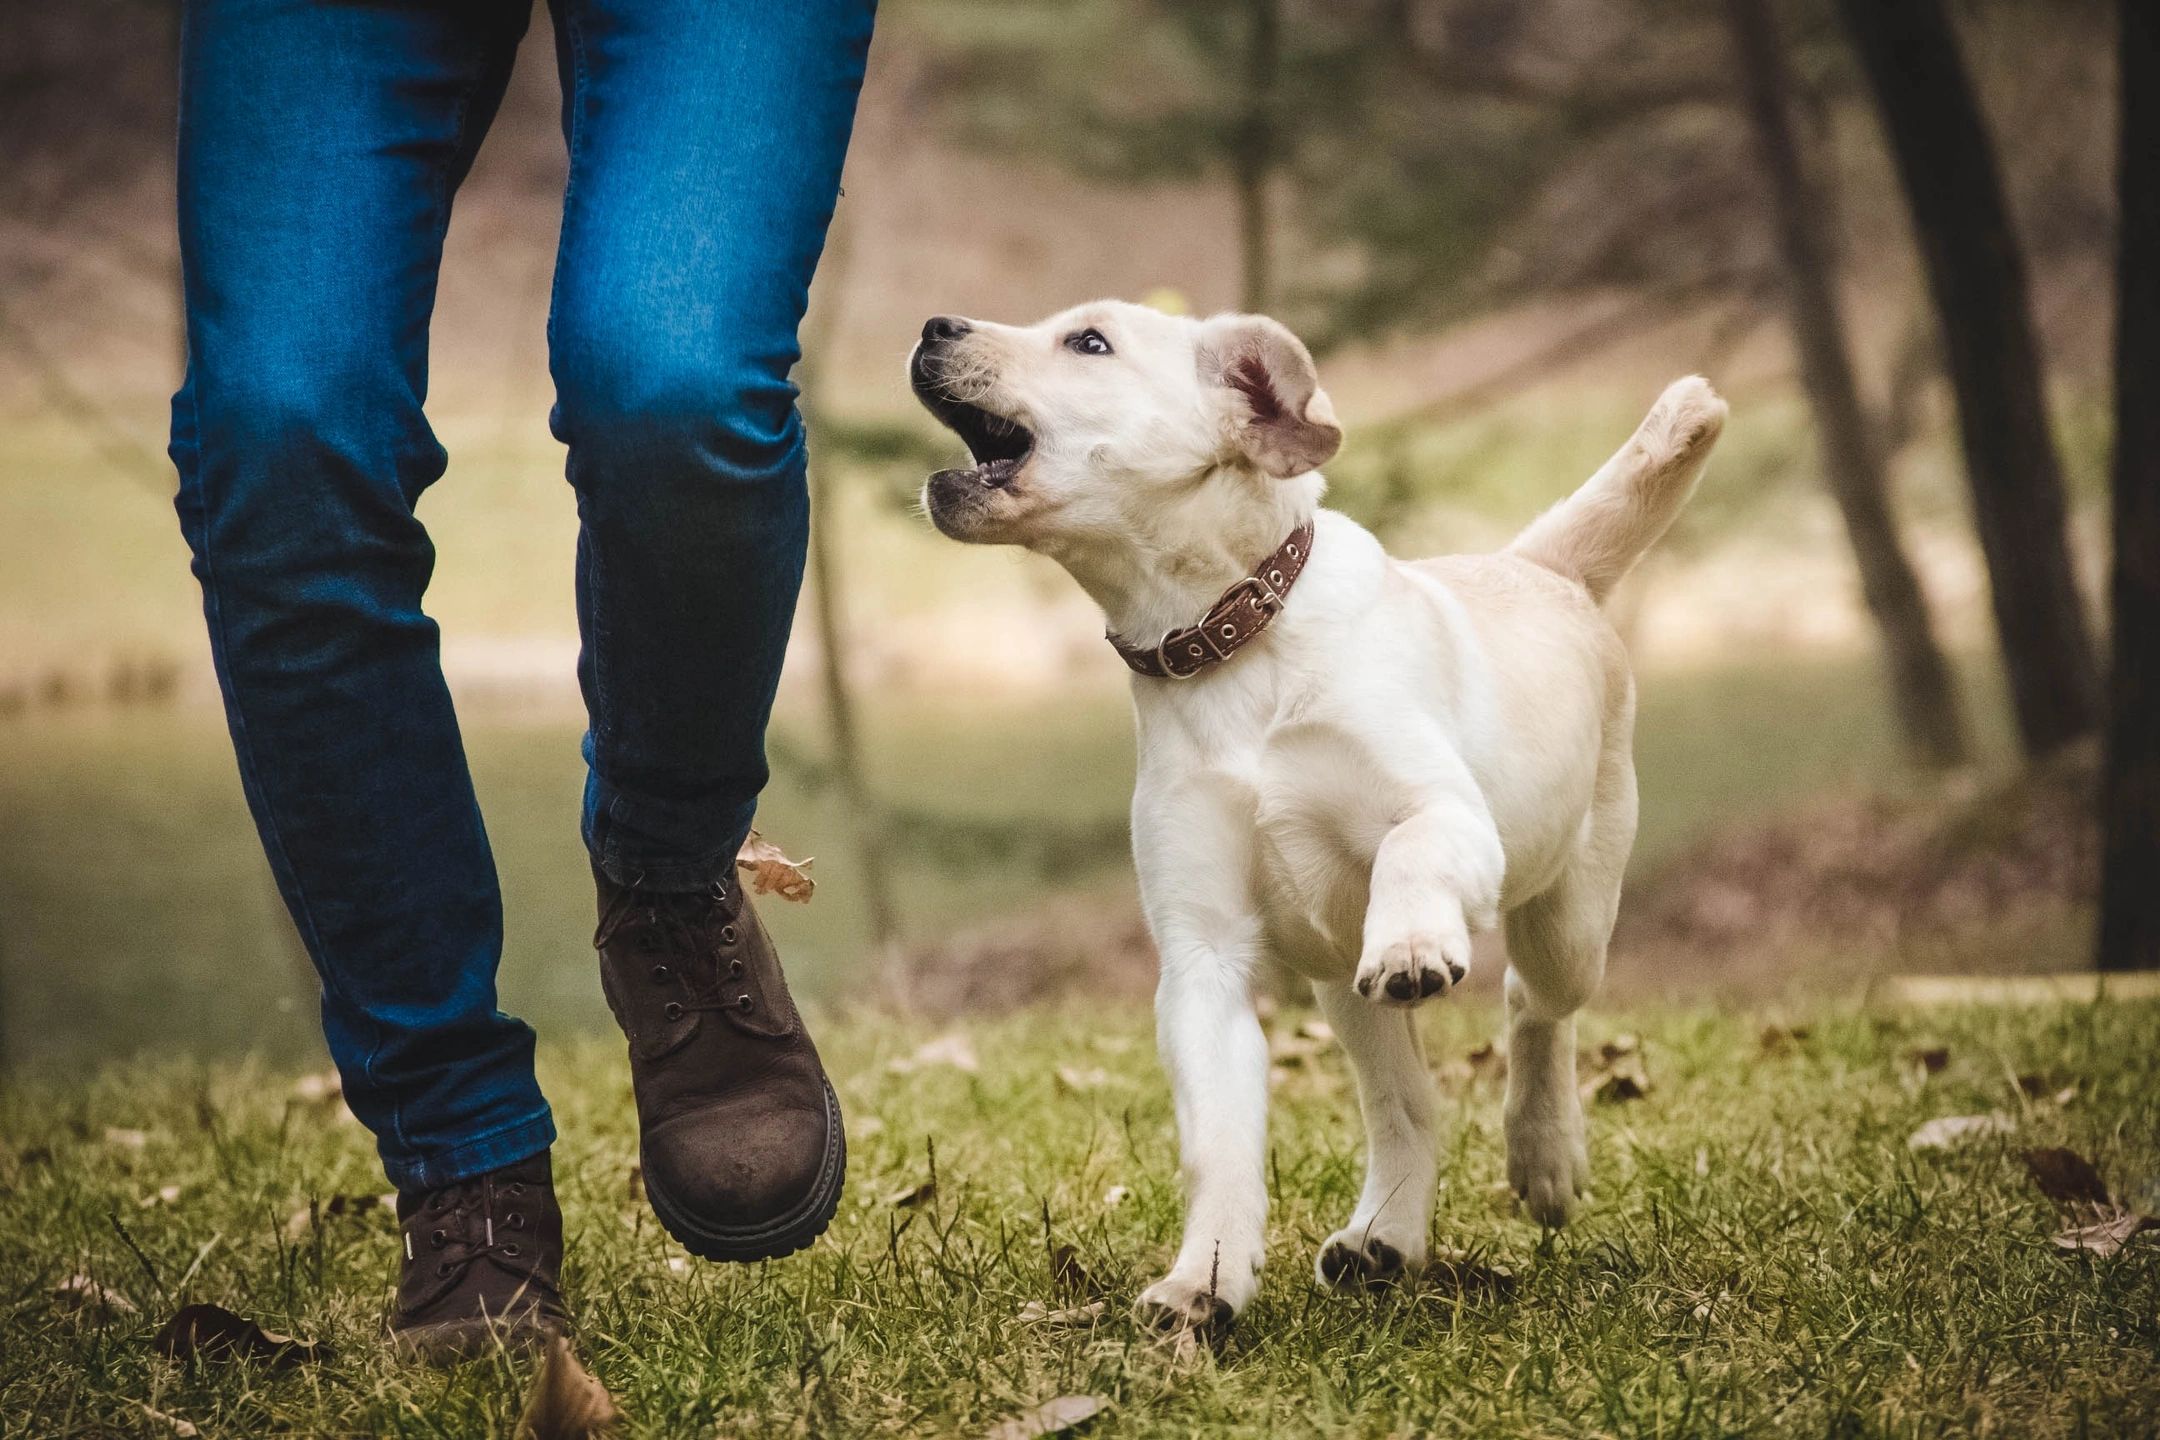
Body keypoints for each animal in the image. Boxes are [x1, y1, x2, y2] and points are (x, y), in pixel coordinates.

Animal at [902, 297, 1728, 1338]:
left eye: (1089, 342)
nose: (933, 325)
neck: (1230, 643)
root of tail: (1539, 566)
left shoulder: (1451, 815)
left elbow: (1412, 845)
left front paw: (1414, 941)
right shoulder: (1202, 960)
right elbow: (1218, 1145)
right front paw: (1202, 1286)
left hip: (1568, 918)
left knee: (1533, 1006)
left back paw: (1542, 1156)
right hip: (1344, 992)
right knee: (1409, 1106)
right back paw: (1385, 1237)